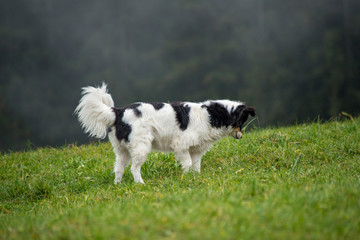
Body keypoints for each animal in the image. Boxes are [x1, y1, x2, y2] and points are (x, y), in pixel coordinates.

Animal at [75, 83, 256, 184]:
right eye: (241, 123)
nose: (241, 136)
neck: (212, 115)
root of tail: (118, 112)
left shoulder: (196, 149)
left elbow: (196, 165)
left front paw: (195, 178)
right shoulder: (181, 146)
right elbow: (188, 164)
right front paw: (185, 178)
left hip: (123, 151)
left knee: (118, 168)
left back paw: (118, 185)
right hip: (141, 147)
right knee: (134, 168)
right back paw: (140, 184)